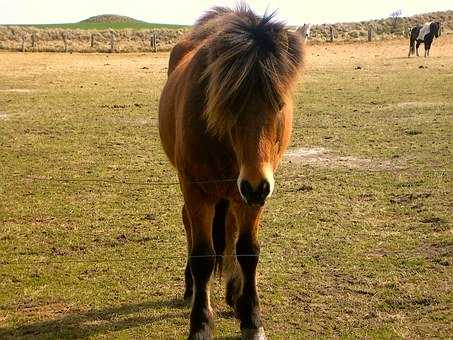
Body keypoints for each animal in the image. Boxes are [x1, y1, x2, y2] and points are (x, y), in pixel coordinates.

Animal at [158, 5, 304, 340]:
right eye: (229, 102)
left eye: (279, 104)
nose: (256, 186)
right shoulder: (196, 190)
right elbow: (202, 256)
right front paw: (200, 325)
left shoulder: (252, 196)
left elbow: (247, 251)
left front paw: (252, 319)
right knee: (190, 225)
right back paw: (191, 289)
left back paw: (233, 295)